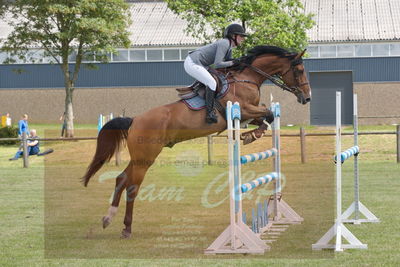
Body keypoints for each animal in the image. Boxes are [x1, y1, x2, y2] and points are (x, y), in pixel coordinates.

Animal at [82, 45, 312, 239]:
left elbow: (265, 116)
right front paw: (251, 135)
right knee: (131, 187)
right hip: (145, 158)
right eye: (300, 70)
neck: (247, 78)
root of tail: (135, 120)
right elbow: (268, 114)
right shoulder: (243, 109)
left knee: (121, 178)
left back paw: (108, 218)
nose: (307, 98)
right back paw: (127, 228)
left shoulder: (249, 112)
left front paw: (250, 134)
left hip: (140, 157)